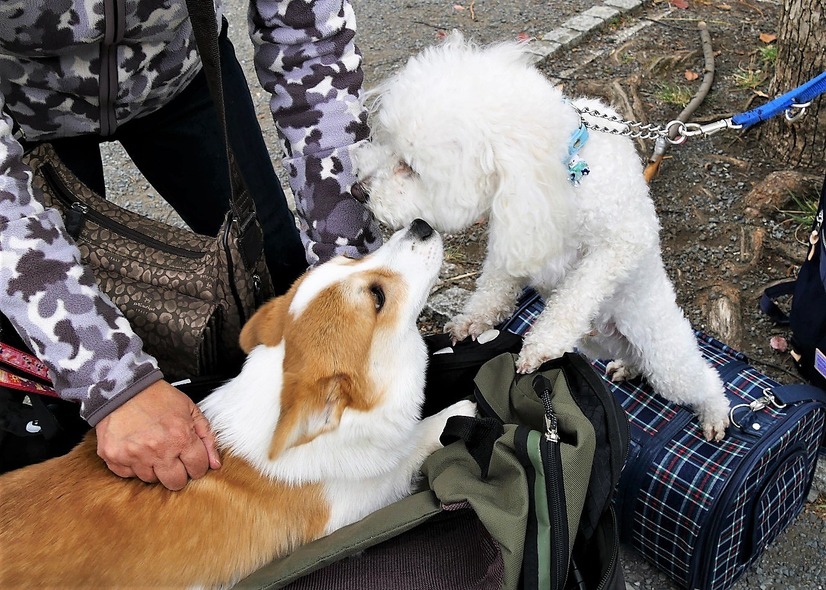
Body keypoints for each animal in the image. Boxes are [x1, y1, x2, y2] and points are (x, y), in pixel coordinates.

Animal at [0, 220, 476, 588]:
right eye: (377, 296)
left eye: (350, 260)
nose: (420, 224)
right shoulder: (352, 505)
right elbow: (411, 447)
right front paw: (459, 412)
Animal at [354, 30, 728, 442]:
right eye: (386, 144)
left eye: (410, 167)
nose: (357, 191)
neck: (565, 166)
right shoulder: (513, 232)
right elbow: (495, 286)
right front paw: (473, 321)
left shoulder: (621, 243)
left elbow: (577, 293)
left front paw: (542, 344)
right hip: (602, 342)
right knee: (634, 359)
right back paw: (627, 367)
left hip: (663, 353)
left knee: (701, 378)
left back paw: (715, 413)